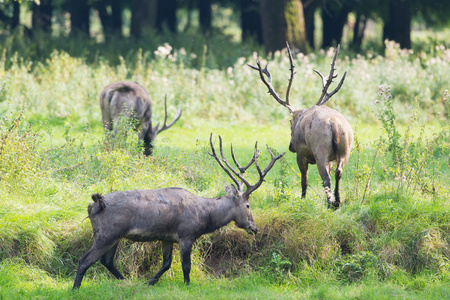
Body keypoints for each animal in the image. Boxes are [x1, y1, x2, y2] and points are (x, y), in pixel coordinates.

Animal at [73, 134, 284, 290]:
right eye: (248, 205)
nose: (254, 227)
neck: (205, 218)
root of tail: (94, 204)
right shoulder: (186, 235)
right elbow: (186, 265)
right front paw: (187, 285)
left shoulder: (166, 237)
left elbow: (166, 263)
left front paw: (149, 282)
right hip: (108, 233)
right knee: (85, 260)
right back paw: (76, 289)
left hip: (114, 235)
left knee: (106, 260)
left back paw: (125, 281)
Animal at [248, 43, 354, 209]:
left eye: (290, 123)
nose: (290, 146)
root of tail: (334, 124)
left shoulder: (300, 154)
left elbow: (304, 180)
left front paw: (302, 200)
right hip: (346, 148)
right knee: (338, 172)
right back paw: (336, 201)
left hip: (320, 150)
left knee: (326, 178)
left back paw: (330, 204)